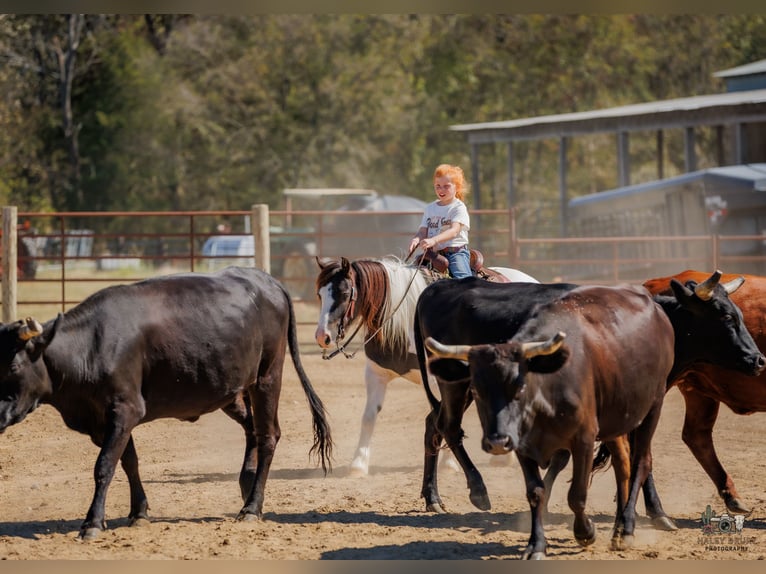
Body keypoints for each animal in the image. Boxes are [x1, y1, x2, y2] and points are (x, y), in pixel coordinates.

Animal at [313, 255, 538, 476]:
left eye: (344, 293)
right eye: (320, 294)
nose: (322, 337)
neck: (402, 320)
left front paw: (448, 463)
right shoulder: (376, 374)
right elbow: (368, 417)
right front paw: (358, 464)